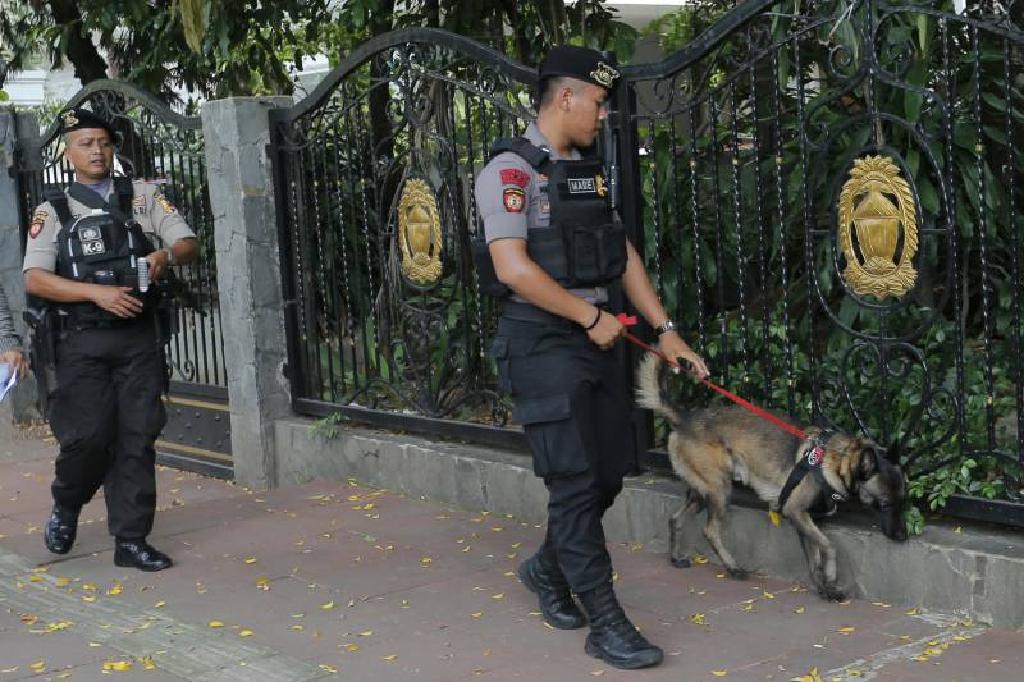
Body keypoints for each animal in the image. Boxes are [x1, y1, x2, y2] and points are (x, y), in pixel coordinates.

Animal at [23, 110, 198, 569]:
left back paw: (134, 547)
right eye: (87, 143)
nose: (100, 153)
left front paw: (154, 262)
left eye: (100, 141)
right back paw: (60, 526)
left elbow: (183, 240)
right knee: (86, 440)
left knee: (136, 434)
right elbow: (38, 272)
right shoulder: (41, 221)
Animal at [475, 49, 708, 667]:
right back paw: (601, 623)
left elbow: (624, 247)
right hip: (552, 400)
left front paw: (672, 343)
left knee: (596, 487)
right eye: (599, 100)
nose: (604, 116)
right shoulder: (502, 190)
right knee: (579, 488)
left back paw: (545, 581)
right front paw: (616, 633)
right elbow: (515, 258)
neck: (555, 150)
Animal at [634, 352, 909, 598]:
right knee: (710, 530)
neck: (836, 460)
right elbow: (829, 547)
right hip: (720, 490)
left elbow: (815, 559)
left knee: (675, 519)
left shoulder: (805, 520)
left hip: (701, 493)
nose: (903, 537)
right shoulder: (796, 512)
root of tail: (685, 418)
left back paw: (675, 557)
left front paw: (824, 590)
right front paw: (831, 577)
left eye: (904, 502)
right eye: (885, 504)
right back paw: (733, 568)